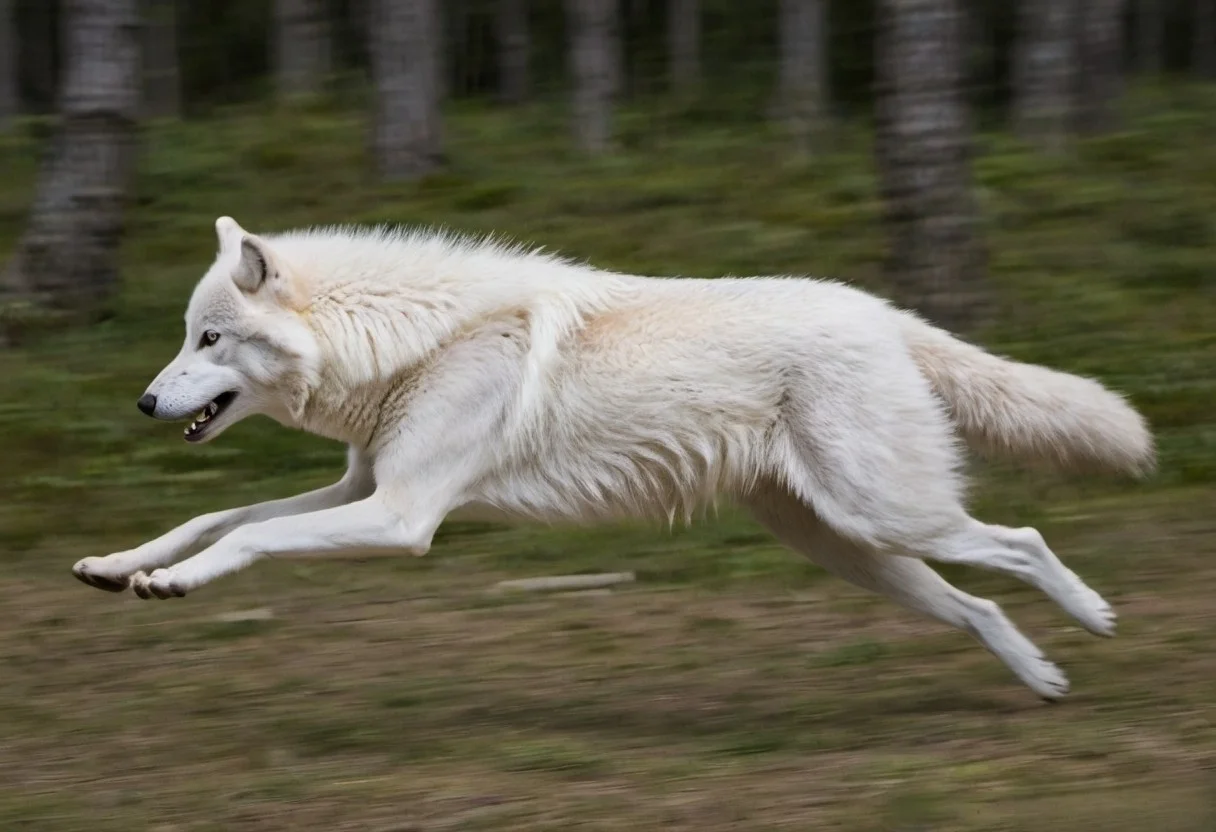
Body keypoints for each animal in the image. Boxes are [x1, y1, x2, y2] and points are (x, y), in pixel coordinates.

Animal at [72, 217, 1154, 699]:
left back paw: (1095, 621)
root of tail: (885, 313)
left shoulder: (400, 516)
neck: (412, 340)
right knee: (974, 602)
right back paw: (1043, 679)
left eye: (210, 339)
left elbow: (246, 541)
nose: (144, 401)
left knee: (1021, 539)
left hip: (887, 516)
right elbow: (213, 517)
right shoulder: (361, 486)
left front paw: (179, 583)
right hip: (850, 549)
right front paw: (123, 567)